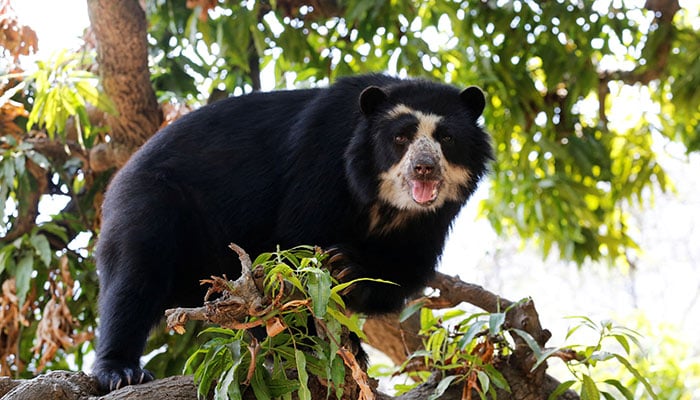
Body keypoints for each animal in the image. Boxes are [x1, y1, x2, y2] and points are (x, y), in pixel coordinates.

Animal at [93, 74, 492, 390]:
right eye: (401, 138)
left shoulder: (433, 219)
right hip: (152, 200)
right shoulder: (322, 160)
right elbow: (298, 246)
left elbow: (403, 270)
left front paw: (347, 268)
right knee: (135, 275)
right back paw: (121, 371)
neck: (385, 201)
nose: (424, 168)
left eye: (446, 138)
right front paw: (315, 342)